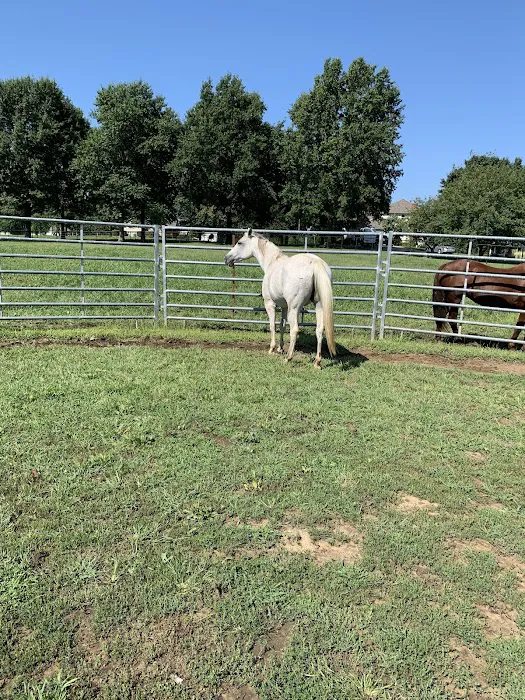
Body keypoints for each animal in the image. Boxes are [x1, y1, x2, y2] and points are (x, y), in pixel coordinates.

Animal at [224, 229, 336, 366]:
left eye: (239, 242)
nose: (226, 258)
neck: (273, 262)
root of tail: (314, 262)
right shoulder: (284, 307)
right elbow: (282, 325)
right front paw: (280, 348)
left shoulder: (270, 304)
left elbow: (273, 326)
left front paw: (272, 349)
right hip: (319, 306)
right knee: (319, 330)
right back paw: (317, 362)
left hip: (295, 308)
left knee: (294, 330)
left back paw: (288, 357)